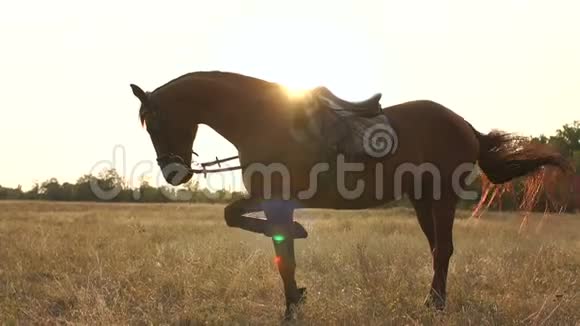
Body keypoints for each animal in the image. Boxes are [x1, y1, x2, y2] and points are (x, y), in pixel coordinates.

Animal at [130, 70, 572, 318]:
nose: (173, 173)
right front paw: (296, 298)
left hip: (441, 197)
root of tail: (466, 127)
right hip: (422, 201)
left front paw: (293, 301)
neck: (264, 119)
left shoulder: (274, 200)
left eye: (157, 120)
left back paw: (435, 304)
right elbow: (278, 250)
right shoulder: (277, 203)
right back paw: (433, 300)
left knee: (443, 249)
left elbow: (271, 244)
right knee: (436, 249)